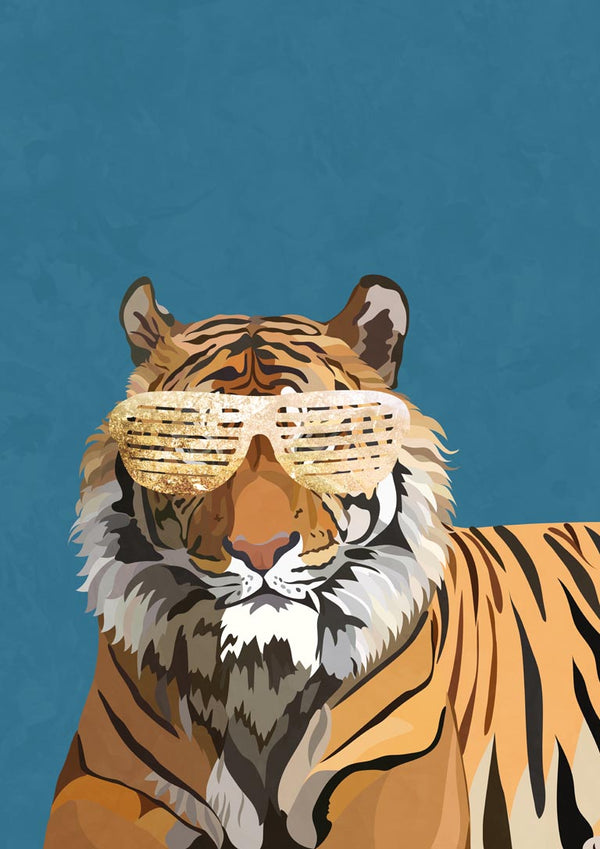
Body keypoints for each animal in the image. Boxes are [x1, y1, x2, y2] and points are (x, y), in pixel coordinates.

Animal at [44, 274, 600, 849]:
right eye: (205, 441)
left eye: (313, 438)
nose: (260, 550)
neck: (262, 676)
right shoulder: (103, 781)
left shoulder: (394, 766)